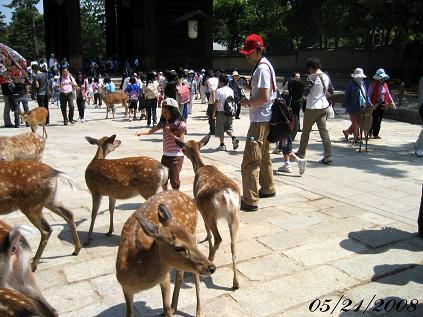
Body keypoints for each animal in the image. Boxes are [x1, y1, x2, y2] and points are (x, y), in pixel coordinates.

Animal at [176, 135, 242, 288]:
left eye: (185, 147)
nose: (181, 151)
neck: (199, 167)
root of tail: (227, 195)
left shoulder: (201, 207)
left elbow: (206, 229)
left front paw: (206, 239)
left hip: (211, 213)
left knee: (218, 238)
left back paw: (209, 261)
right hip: (235, 215)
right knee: (233, 245)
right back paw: (235, 283)